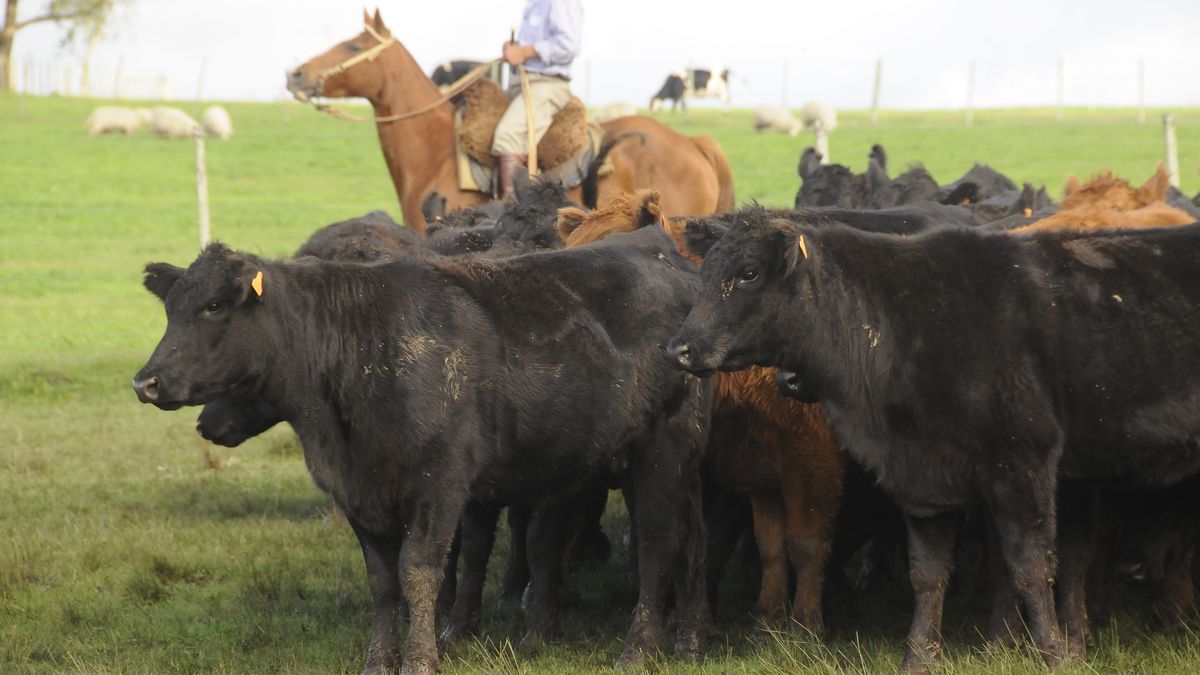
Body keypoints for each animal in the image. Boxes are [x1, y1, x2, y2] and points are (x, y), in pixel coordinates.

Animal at [134, 226, 714, 674]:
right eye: (170, 309)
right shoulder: (359, 495)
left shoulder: (440, 484)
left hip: (664, 452)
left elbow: (418, 572)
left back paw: (640, 649)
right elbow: (383, 582)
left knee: (658, 542)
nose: (146, 382)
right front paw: (378, 660)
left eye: (213, 306)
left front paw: (419, 659)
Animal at [666, 207, 1200, 671]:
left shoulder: (1024, 463)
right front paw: (918, 658)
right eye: (704, 272)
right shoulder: (922, 477)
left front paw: (1052, 656)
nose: (680, 348)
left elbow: (1030, 566)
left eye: (749, 273)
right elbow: (927, 574)